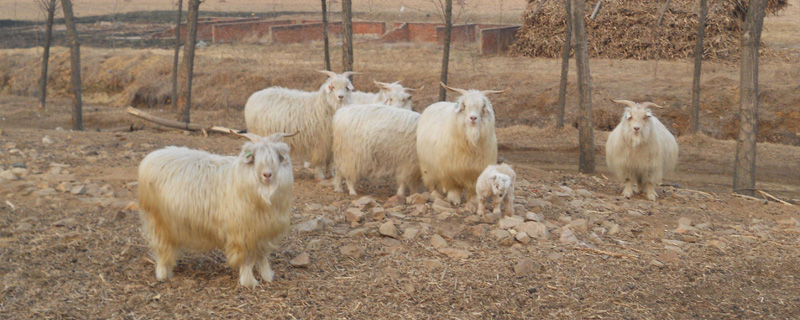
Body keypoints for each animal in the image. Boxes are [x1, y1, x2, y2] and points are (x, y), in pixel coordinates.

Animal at [138, 131, 296, 288]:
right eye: (255, 158)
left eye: (276, 157)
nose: (267, 175)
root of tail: (151, 156)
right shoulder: (241, 234)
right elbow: (246, 260)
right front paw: (248, 281)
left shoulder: (264, 232)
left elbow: (262, 257)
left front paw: (267, 276)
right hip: (157, 220)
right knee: (161, 248)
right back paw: (162, 273)